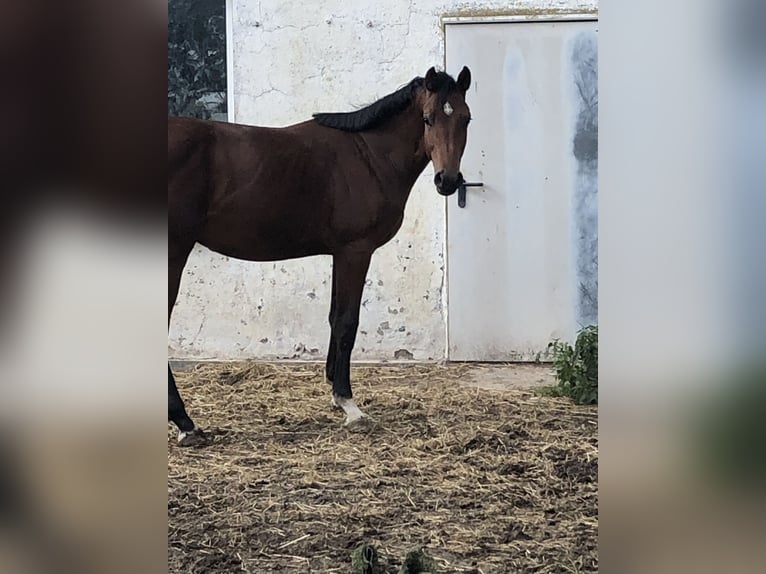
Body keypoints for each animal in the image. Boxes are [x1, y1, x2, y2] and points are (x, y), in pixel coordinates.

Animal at [168, 66, 474, 446]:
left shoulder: (339, 253)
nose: (448, 181)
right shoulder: (355, 252)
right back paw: (185, 423)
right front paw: (350, 405)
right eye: (428, 118)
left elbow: (333, 318)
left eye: (466, 118)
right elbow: (346, 323)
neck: (370, 156)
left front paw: (334, 393)